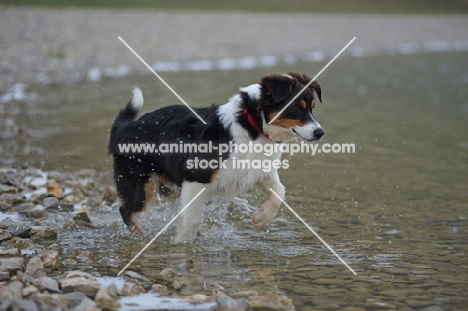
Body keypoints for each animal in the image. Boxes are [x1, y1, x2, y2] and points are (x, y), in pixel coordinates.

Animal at [108, 71, 324, 244]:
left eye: (312, 107)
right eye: (296, 108)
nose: (320, 132)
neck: (253, 124)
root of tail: (123, 128)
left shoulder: (256, 170)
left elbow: (280, 191)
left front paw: (261, 218)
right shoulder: (195, 177)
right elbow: (192, 220)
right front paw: (181, 246)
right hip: (139, 187)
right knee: (125, 211)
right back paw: (141, 237)